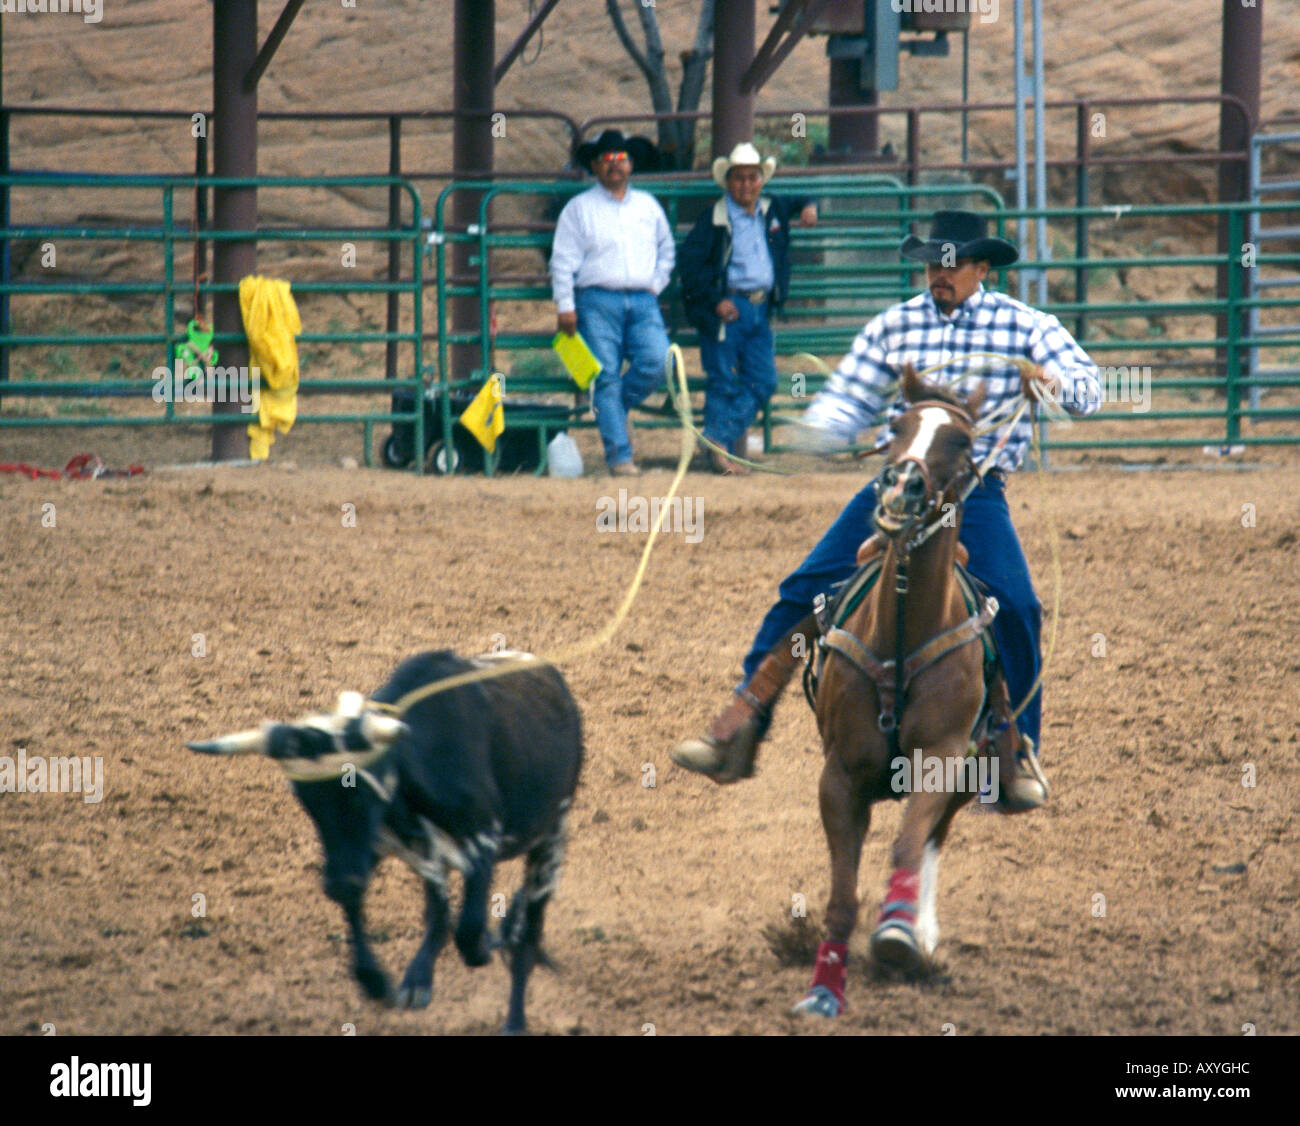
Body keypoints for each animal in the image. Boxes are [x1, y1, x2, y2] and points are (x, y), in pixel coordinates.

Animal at [189, 644, 585, 1029]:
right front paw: (376, 980)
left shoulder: (483, 839)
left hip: (550, 839)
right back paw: (420, 978)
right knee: (440, 911)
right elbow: (374, 906)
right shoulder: (371, 847)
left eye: (359, 793)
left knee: (525, 939)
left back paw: (514, 1013)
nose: (337, 882)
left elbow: (470, 932)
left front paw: (489, 941)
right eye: (307, 801)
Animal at [790, 369, 993, 1019]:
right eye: (897, 423)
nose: (902, 485)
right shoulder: (839, 776)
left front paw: (899, 934)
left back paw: (921, 935)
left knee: (931, 840)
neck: (902, 631)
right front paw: (823, 992)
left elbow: (908, 845)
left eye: (961, 439)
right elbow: (841, 897)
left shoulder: (943, 758)